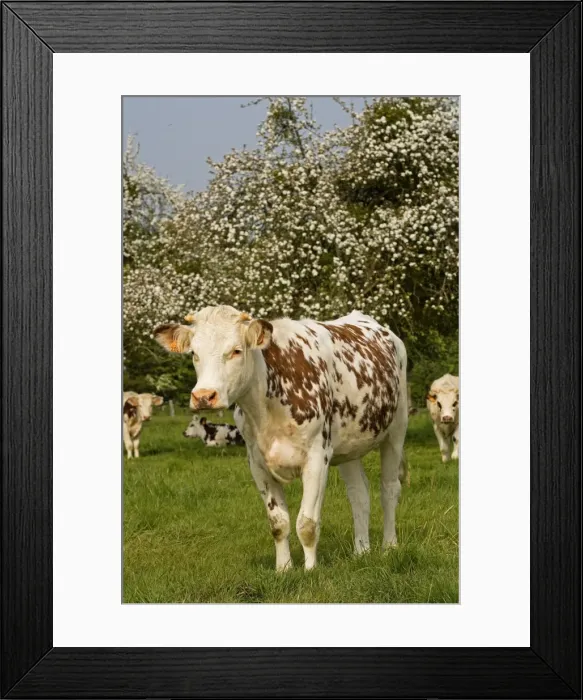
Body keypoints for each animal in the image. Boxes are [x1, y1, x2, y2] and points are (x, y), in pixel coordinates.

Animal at [154, 305, 408, 571]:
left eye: (236, 350)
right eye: (194, 353)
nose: (204, 396)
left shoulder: (317, 458)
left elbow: (306, 523)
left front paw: (310, 570)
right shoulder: (257, 463)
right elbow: (278, 523)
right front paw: (283, 569)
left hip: (396, 430)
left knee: (389, 489)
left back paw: (389, 547)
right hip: (349, 446)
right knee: (359, 494)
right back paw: (361, 551)